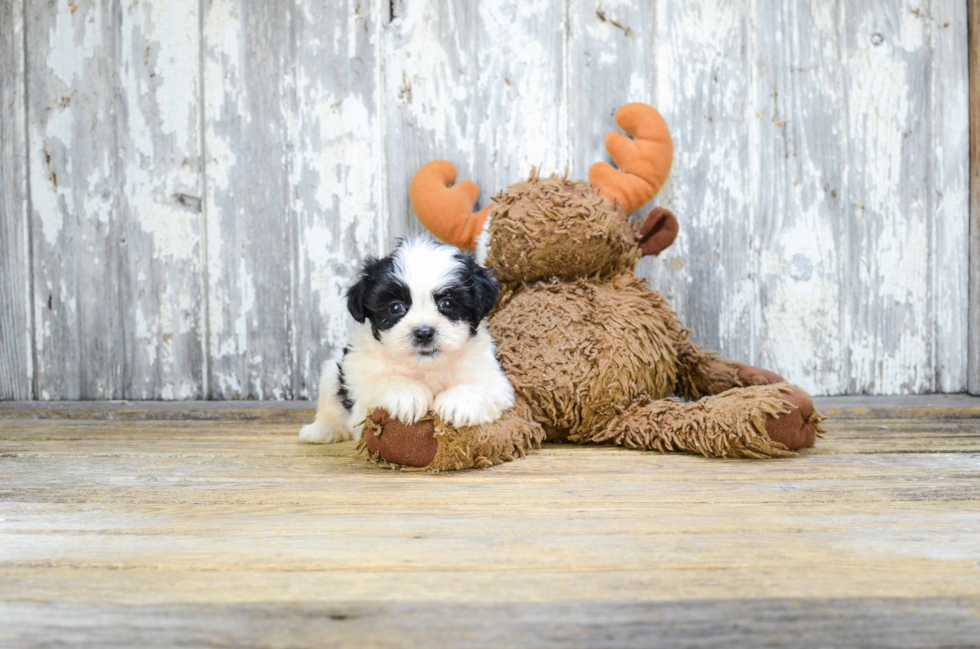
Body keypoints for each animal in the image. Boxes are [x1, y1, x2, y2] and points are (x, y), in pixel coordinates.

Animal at [296, 238, 512, 446]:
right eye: (396, 307)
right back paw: (321, 430)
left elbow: (483, 387)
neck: (425, 367)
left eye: (447, 303)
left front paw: (458, 402)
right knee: (331, 408)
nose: (424, 333)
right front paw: (407, 394)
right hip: (331, 372)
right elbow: (379, 382)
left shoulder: (493, 378)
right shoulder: (359, 372)